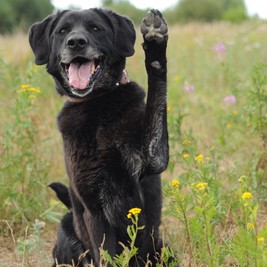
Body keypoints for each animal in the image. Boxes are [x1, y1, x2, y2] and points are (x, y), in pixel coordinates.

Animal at [29, 8, 170, 267]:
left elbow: (157, 90)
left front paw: (155, 42)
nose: (76, 42)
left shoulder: (154, 156)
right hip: (68, 235)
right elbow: (106, 255)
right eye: (62, 31)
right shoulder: (94, 210)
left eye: (95, 28)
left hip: (162, 249)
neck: (97, 104)